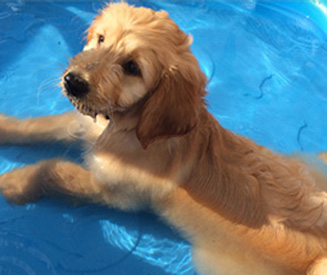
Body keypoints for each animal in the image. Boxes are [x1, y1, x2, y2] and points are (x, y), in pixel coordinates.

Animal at [0, 2, 327, 275]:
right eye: (101, 39)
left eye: (132, 67)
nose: (73, 82)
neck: (127, 125)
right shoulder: (82, 125)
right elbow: (38, 126)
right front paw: (5, 127)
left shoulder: (116, 193)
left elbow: (54, 170)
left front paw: (15, 182)